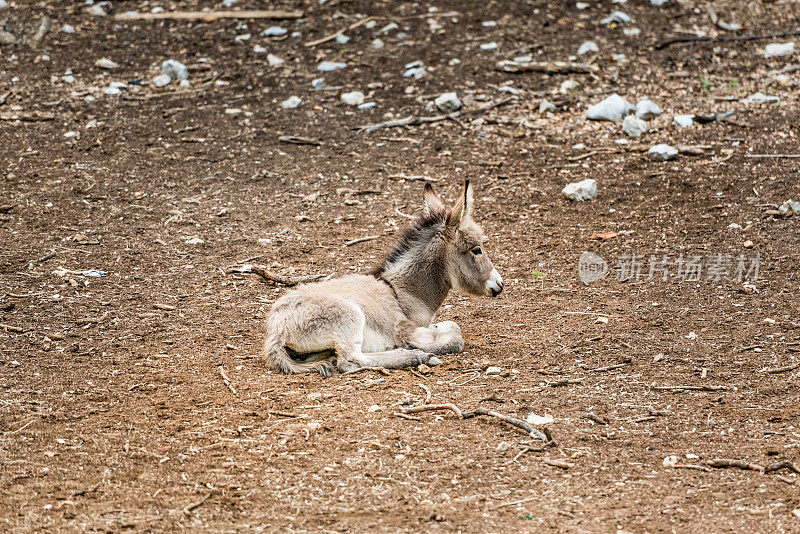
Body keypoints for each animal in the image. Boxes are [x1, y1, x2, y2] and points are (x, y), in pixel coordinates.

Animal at [264, 182, 500, 378]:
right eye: (476, 250)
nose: (500, 285)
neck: (403, 293)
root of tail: (276, 331)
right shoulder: (405, 328)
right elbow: (455, 336)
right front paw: (419, 347)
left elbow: (452, 325)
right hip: (350, 317)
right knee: (350, 361)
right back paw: (415, 355)